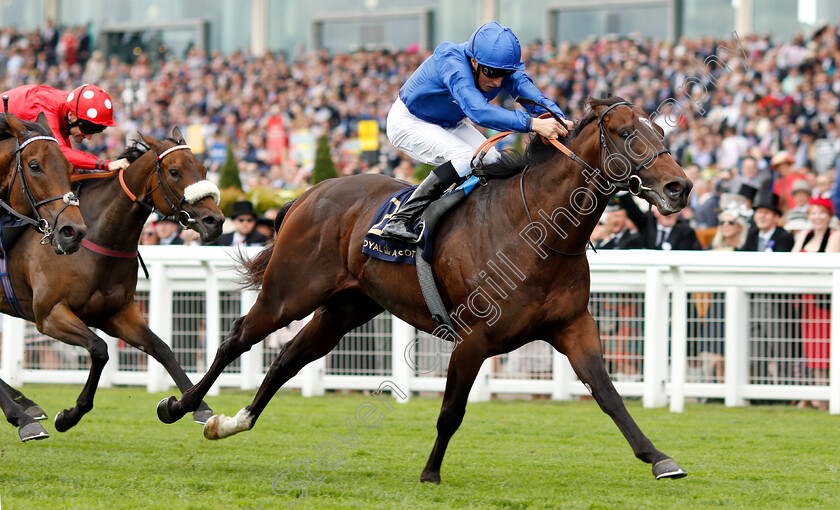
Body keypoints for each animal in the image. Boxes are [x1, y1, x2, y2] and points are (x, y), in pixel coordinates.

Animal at [156, 98, 688, 482]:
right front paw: (431, 472)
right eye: (627, 133)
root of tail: (308, 192)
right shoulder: (474, 337)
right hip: (289, 292)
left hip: (346, 307)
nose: (679, 187)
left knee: (287, 360)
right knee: (236, 340)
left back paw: (233, 422)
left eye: (661, 133)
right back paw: (182, 407)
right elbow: (451, 410)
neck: (537, 229)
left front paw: (659, 458)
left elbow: (608, 393)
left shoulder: (572, 325)